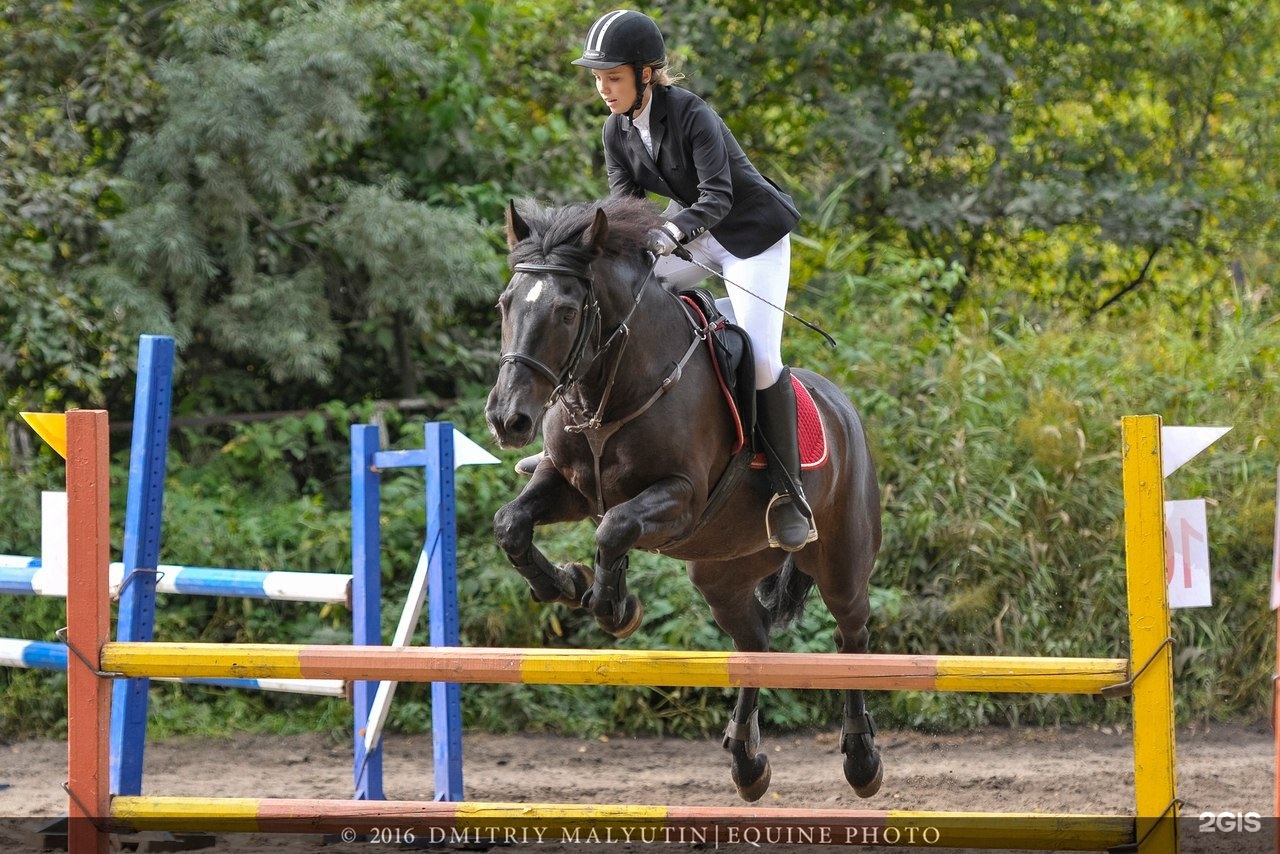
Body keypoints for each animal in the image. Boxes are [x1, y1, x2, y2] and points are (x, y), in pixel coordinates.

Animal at [483, 195, 885, 804]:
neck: (611, 387)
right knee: (754, 643)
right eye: (506, 304)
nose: (509, 420)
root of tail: (842, 408)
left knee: (852, 637)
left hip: (841, 561)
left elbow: (614, 527)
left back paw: (861, 762)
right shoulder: (567, 485)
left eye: (567, 312)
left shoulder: (683, 499)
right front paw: (569, 584)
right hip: (723, 571)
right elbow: (513, 524)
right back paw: (747, 763)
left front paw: (613, 606)